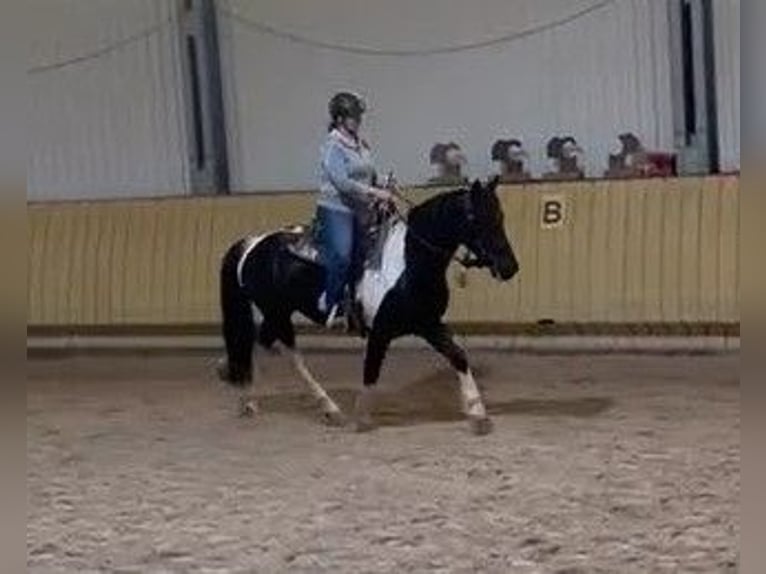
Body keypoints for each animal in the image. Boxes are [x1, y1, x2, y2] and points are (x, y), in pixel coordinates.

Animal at [218, 177, 520, 436]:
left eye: (501, 216)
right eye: (476, 218)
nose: (509, 267)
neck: (408, 262)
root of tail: (253, 243)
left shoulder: (428, 323)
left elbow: (458, 356)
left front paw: (479, 416)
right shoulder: (381, 330)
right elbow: (371, 369)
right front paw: (361, 418)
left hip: (277, 314)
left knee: (261, 345)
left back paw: (249, 396)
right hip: (277, 312)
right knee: (289, 356)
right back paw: (322, 407)